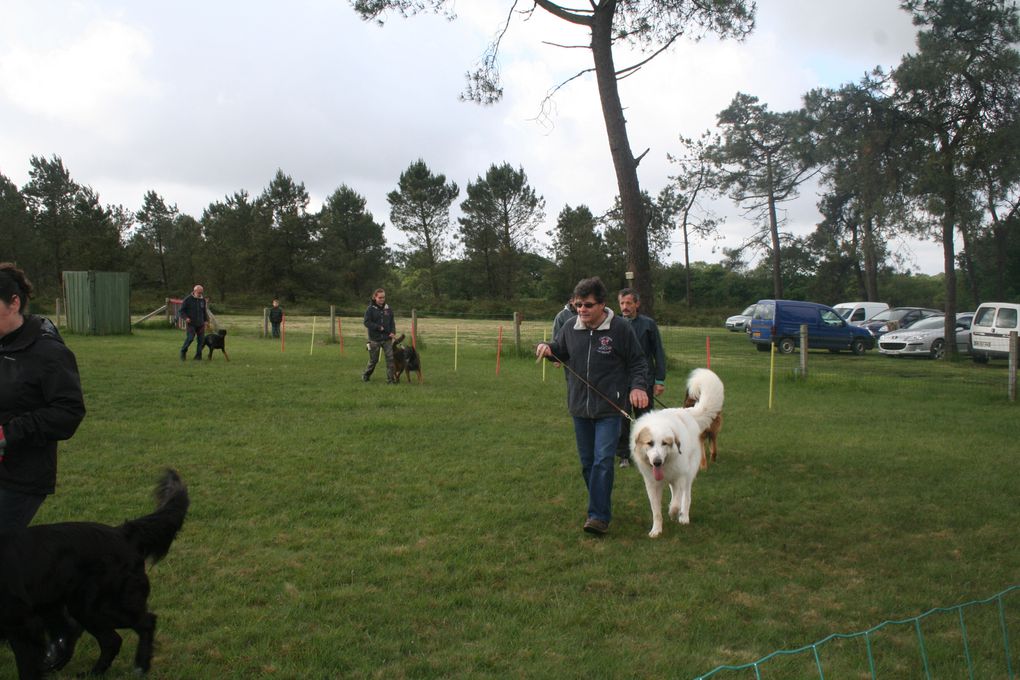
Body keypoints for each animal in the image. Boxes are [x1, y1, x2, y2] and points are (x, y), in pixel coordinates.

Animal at [0, 471, 189, 676]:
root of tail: (122, 534)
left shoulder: (24, 624)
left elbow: (27, 667)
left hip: (95, 605)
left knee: (145, 622)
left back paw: (141, 666)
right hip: (74, 605)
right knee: (110, 639)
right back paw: (92, 672)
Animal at [624, 369, 722, 538]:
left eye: (665, 443)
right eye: (649, 443)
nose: (657, 462)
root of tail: (686, 411)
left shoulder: (680, 478)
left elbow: (676, 503)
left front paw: (673, 513)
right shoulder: (652, 485)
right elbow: (656, 512)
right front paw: (656, 530)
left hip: (688, 474)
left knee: (686, 497)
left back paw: (684, 517)